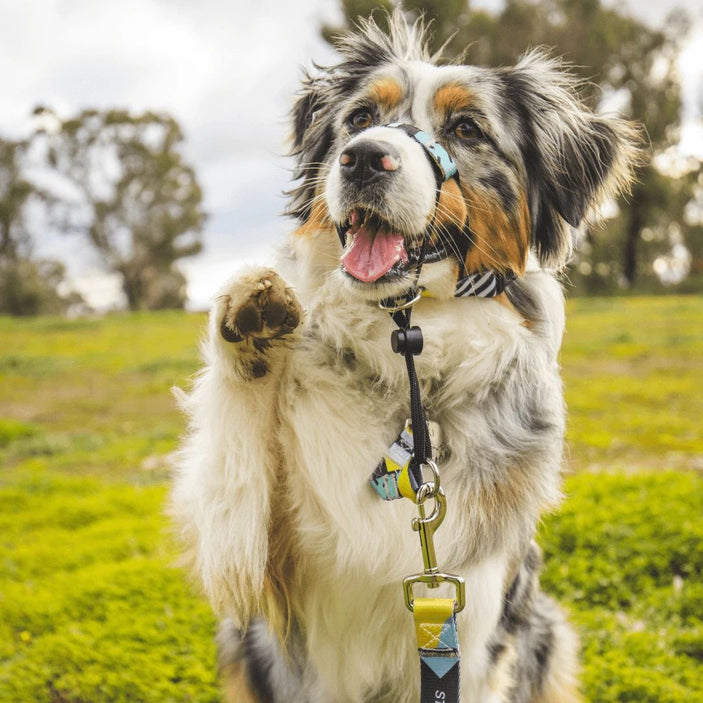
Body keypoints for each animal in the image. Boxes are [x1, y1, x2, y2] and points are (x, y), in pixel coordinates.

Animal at [172, 12, 644, 703]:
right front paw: (250, 319)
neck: (408, 358)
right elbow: (235, 467)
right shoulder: (268, 567)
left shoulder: (472, 631)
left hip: (548, 630)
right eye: (360, 117)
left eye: (467, 128)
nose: (365, 157)